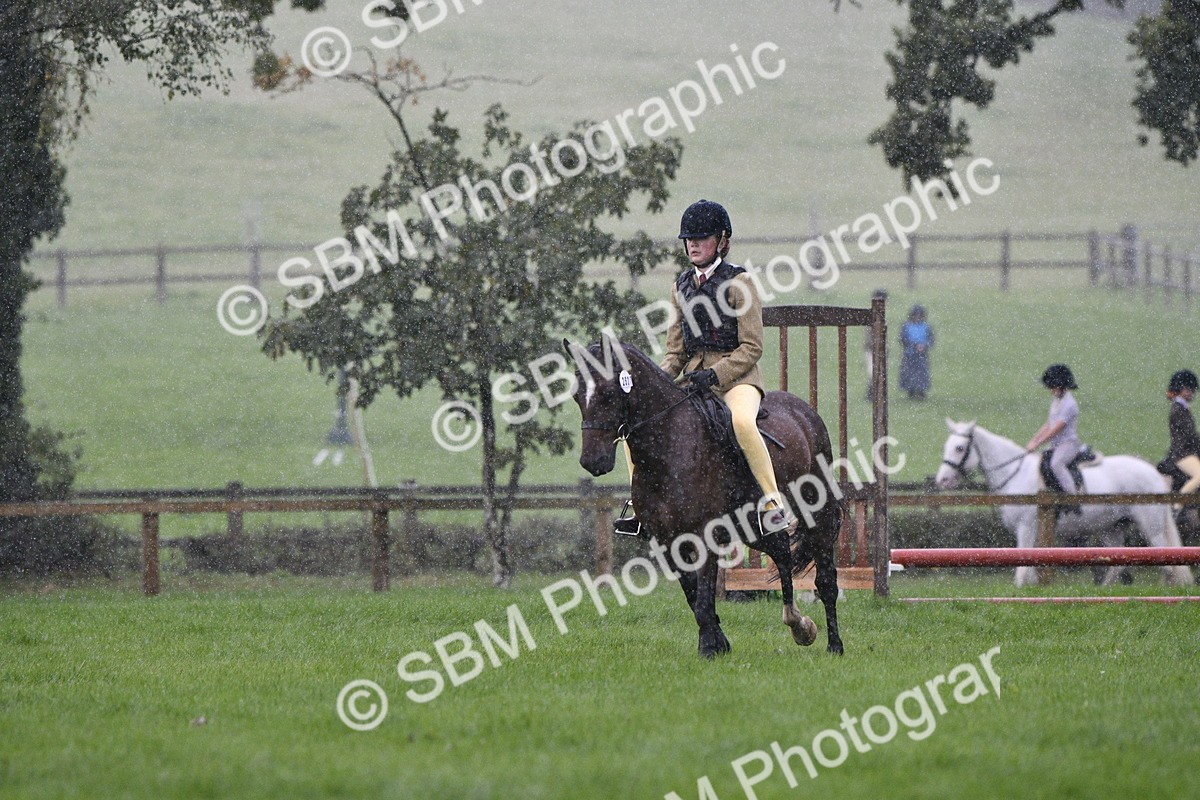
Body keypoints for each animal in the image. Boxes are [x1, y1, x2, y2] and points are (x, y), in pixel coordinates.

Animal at [566, 339, 845, 657]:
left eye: (609, 393)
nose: (592, 462)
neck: (669, 446)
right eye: (577, 395)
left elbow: (702, 600)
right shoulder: (666, 541)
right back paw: (799, 625)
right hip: (752, 528)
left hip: (817, 512)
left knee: (825, 579)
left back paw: (834, 645)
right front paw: (719, 643)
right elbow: (694, 596)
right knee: (781, 552)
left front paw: (709, 650)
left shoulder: (705, 536)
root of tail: (804, 411)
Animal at [934, 419, 1194, 587]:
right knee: (1119, 561)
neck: (1015, 474)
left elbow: (1023, 560)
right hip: (1111, 527)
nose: (942, 480)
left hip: (1151, 526)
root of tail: (1153, 474)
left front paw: (1021, 586)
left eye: (959, 448)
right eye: (946, 446)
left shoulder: (1026, 527)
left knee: (1165, 558)